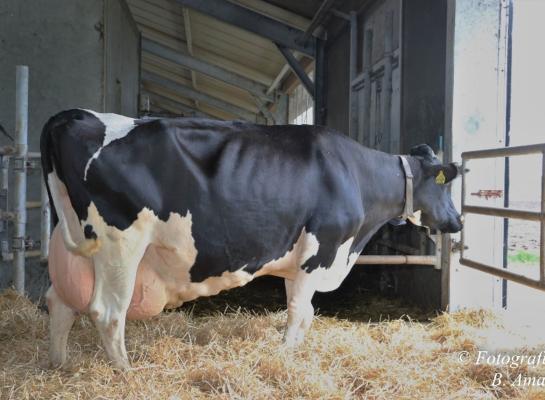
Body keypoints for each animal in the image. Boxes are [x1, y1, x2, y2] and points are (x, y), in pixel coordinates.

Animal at [40, 109, 462, 368]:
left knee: (60, 303)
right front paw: (286, 354)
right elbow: (299, 312)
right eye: (445, 185)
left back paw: (60, 363)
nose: (457, 222)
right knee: (108, 312)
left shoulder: (300, 262)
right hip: (121, 244)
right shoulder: (319, 250)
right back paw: (126, 371)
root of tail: (73, 115)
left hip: (72, 243)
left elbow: (305, 312)